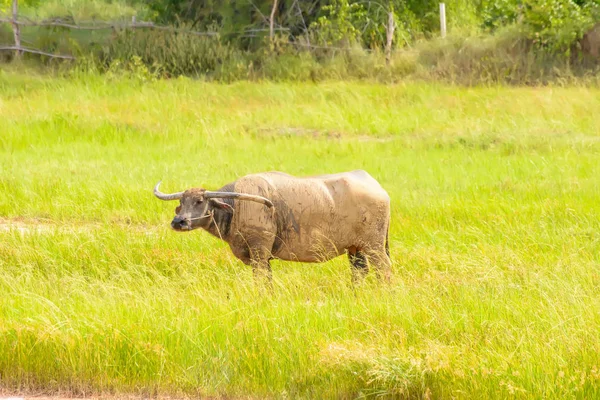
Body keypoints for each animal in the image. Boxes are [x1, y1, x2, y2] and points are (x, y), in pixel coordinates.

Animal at [152, 170, 392, 282]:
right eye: (181, 202)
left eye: (200, 201)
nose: (178, 221)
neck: (237, 207)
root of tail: (379, 189)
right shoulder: (263, 257)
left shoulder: (259, 251)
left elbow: (261, 280)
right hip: (355, 249)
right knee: (360, 271)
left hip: (374, 246)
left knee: (384, 268)